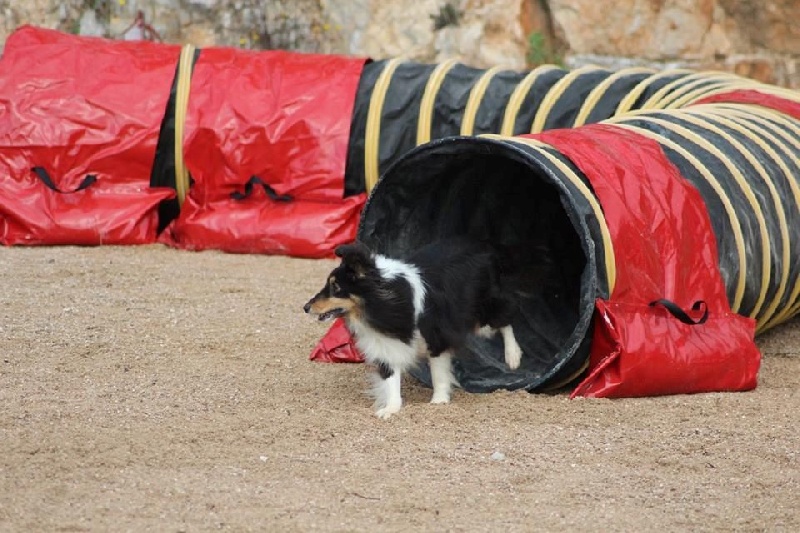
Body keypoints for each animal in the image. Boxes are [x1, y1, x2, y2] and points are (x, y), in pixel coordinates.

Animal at [304, 238, 520, 420]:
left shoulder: (436, 336)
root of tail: (482, 245)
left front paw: (438, 402)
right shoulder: (386, 343)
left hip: (482, 315)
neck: (382, 301)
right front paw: (390, 409)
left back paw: (513, 358)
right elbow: (391, 379)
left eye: (336, 288)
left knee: (506, 319)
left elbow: (438, 372)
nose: (305, 307)